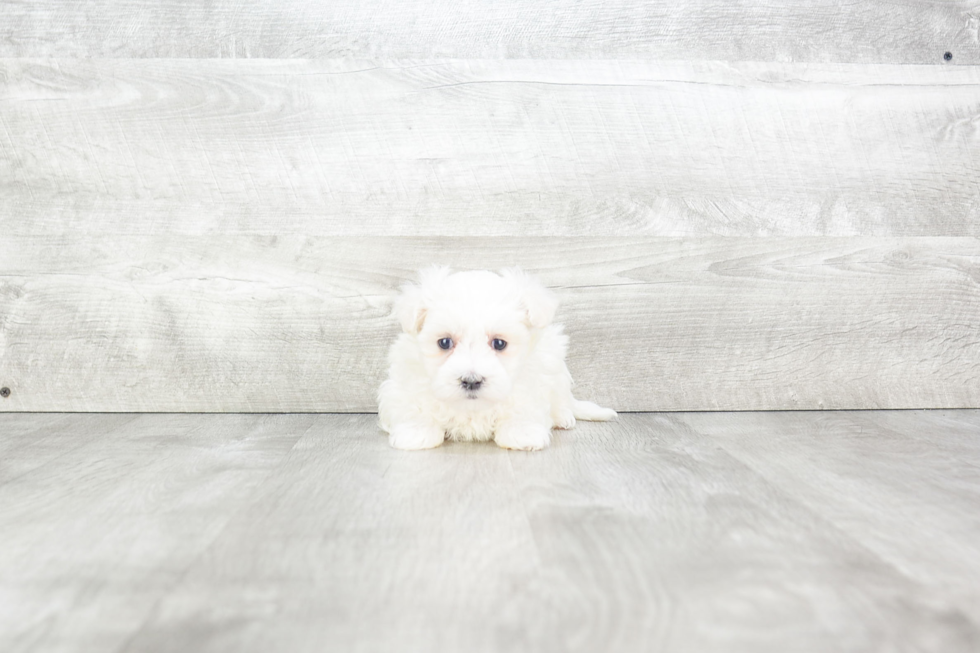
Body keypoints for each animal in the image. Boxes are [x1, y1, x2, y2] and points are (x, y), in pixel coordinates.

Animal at [378, 264, 616, 448]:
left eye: (499, 343)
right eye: (444, 342)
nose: (471, 381)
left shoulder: (532, 377)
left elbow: (522, 404)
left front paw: (522, 432)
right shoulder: (408, 376)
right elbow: (415, 403)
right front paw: (416, 432)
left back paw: (563, 417)